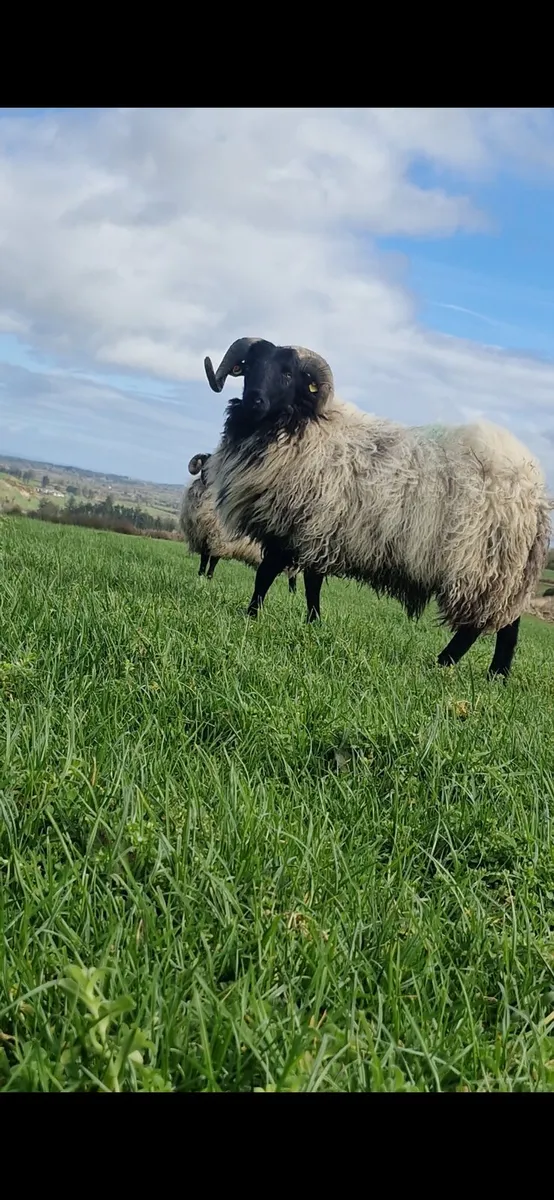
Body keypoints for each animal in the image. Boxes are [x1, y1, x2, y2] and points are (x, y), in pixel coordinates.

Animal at [180, 451, 298, 592]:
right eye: (204, 465)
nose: (208, 478)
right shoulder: (205, 540)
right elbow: (203, 561)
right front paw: (200, 577)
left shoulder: (219, 541)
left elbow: (213, 562)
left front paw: (209, 579)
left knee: (293, 576)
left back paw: (293, 593)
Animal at [203, 337, 551, 680]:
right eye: (249, 366)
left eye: (288, 374)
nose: (254, 400)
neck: (303, 427)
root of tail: (535, 490)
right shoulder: (318, 532)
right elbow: (310, 583)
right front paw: (313, 623)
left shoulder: (295, 528)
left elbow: (268, 575)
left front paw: (252, 614)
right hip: (503, 571)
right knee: (506, 623)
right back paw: (496, 675)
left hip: (484, 565)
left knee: (480, 626)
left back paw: (445, 664)